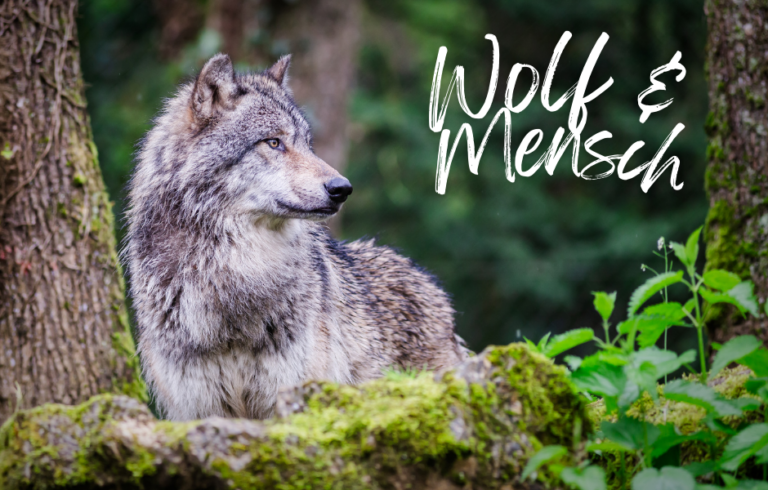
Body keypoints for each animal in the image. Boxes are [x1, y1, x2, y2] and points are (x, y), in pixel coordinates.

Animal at [124, 53, 468, 421]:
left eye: (307, 144)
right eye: (274, 142)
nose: (342, 188)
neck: (235, 276)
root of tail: (433, 286)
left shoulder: (291, 395)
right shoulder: (201, 410)